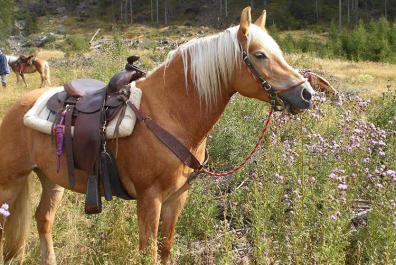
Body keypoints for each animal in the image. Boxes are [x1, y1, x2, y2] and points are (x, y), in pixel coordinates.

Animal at [0, 7, 316, 262]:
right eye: (260, 55)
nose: (307, 94)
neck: (170, 113)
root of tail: (18, 107)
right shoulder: (149, 199)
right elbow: (148, 253)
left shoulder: (177, 197)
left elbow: (165, 248)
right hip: (11, 183)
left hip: (52, 179)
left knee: (43, 219)